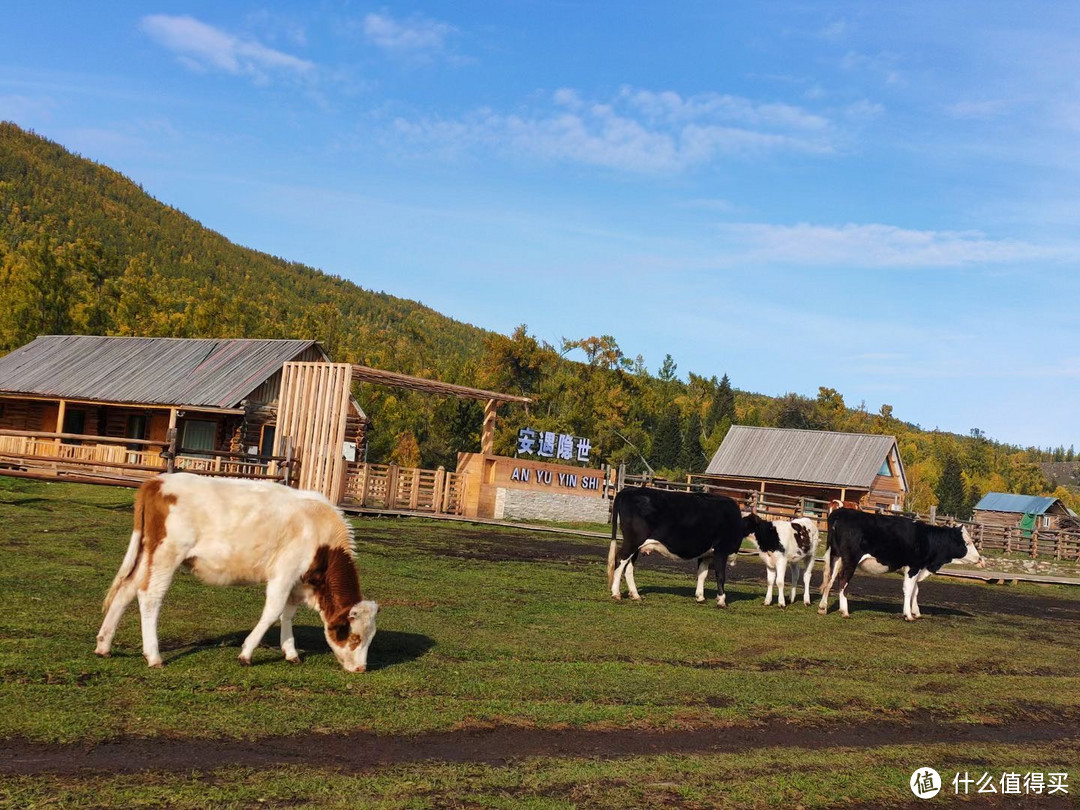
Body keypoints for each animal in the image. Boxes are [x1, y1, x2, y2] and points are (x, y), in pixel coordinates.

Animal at [93, 475, 380, 673]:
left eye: (370, 638)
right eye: (355, 637)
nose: (361, 669)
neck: (322, 537)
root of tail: (157, 481)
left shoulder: (299, 582)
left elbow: (288, 614)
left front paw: (290, 651)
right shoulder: (284, 573)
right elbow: (273, 612)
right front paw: (246, 653)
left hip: (147, 554)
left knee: (126, 590)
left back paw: (104, 645)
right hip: (167, 554)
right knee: (150, 596)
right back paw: (153, 656)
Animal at [609, 488, 751, 609]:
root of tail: (629, 490)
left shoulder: (705, 554)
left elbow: (702, 574)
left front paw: (700, 597)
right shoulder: (721, 549)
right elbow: (720, 575)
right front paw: (721, 601)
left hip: (637, 547)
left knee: (629, 567)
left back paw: (635, 595)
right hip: (633, 541)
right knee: (620, 559)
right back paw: (616, 593)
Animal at [816, 507, 989, 622]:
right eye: (967, 543)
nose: (981, 560)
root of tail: (840, 512)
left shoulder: (915, 569)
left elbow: (915, 591)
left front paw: (916, 612)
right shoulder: (913, 567)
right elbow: (909, 590)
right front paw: (908, 614)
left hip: (835, 556)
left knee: (829, 580)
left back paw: (823, 608)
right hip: (850, 560)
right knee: (843, 581)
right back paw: (844, 610)